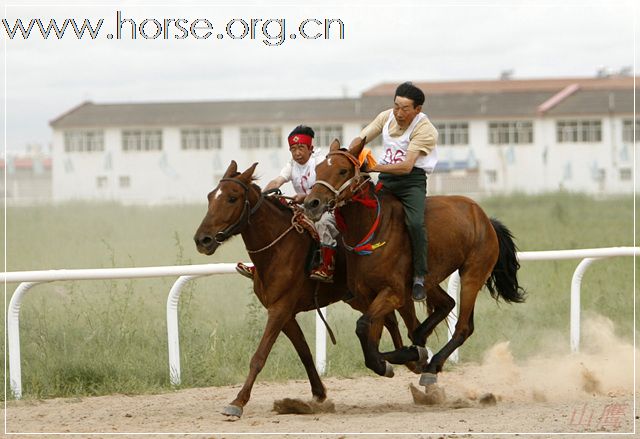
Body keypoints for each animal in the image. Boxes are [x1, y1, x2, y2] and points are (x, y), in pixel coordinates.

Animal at [192, 161, 420, 420]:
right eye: (210, 196)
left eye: (232, 198)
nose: (203, 240)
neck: (278, 248)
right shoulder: (286, 313)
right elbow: (304, 352)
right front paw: (319, 393)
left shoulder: (280, 309)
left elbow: (259, 356)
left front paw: (238, 402)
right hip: (358, 297)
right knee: (389, 319)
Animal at [304, 141, 524, 382]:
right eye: (318, 170)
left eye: (342, 171)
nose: (312, 203)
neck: (371, 229)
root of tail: (486, 219)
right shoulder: (369, 294)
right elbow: (372, 334)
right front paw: (393, 359)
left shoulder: (394, 292)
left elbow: (363, 326)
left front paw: (398, 358)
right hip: (430, 281)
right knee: (446, 305)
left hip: (472, 275)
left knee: (463, 327)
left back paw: (432, 363)